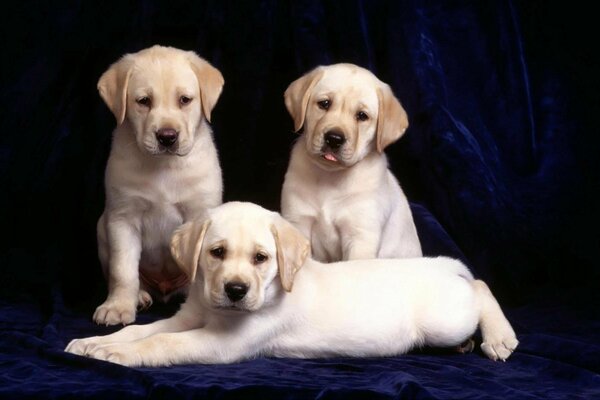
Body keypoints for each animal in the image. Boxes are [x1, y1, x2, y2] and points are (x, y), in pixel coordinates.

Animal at [64, 202, 516, 368]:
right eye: (216, 253)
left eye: (261, 258)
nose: (235, 290)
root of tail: (442, 265)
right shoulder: (187, 317)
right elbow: (145, 329)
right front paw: (94, 343)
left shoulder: (224, 342)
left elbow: (161, 342)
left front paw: (116, 354)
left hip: (445, 316)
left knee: (480, 287)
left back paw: (499, 337)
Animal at [94, 44, 225, 324]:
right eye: (144, 101)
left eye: (185, 100)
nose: (167, 136)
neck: (164, 166)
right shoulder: (122, 218)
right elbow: (123, 270)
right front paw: (118, 306)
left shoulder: (199, 213)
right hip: (102, 226)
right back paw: (140, 296)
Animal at [282, 63, 422, 262]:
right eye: (324, 104)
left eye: (362, 116)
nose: (334, 139)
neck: (330, 176)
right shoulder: (298, 221)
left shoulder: (361, 237)